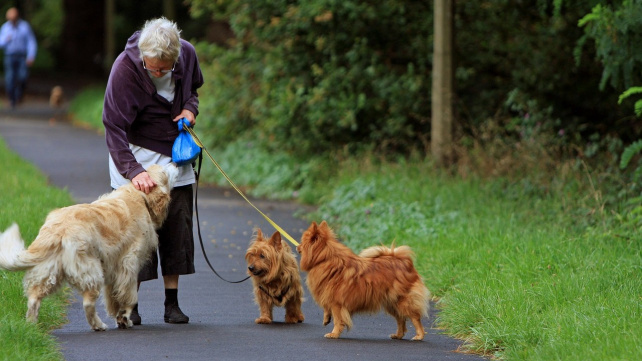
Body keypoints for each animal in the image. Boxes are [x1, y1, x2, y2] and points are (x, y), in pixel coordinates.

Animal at [0, 163, 178, 330]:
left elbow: (113, 297)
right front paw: (125, 318)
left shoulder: (113, 267)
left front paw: (118, 316)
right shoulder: (129, 264)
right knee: (87, 304)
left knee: (33, 300)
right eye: (164, 170)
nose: (176, 163)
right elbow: (129, 296)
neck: (138, 195)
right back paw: (99, 325)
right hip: (91, 271)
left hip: (48, 272)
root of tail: (58, 229)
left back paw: (31, 327)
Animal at [296, 219, 430, 340]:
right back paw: (398, 335)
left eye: (302, 242)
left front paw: (334, 334)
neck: (324, 259)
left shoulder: (337, 303)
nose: (297, 246)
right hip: (392, 303)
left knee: (415, 317)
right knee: (401, 319)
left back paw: (419, 336)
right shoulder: (329, 296)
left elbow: (338, 320)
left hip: (403, 301)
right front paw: (326, 319)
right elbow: (327, 310)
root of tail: (405, 262)